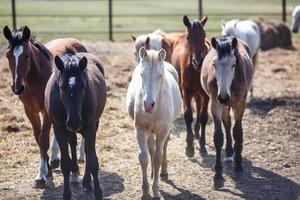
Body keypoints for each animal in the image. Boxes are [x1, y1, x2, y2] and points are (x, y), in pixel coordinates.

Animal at [2, 25, 86, 188]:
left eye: (27, 55)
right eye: (8, 55)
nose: (17, 88)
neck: (34, 80)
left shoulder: (46, 111)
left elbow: (43, 139)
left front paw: (42, 175)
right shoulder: (30, 111)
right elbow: (38, 138)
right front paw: (46, 172)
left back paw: (79, 156)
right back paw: (54, 159)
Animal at [44, 48, 106, 200]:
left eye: (83, 86)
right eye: (61, 86)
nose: (74, 121)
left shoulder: (90, 128)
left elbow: (92, 160)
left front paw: (98, 192)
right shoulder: (59, 129)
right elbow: (65, 163)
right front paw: (67, 194)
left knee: (86, 150)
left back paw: (86, 182)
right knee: (72, 143)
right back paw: (75, 173)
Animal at [126, 47, 182, 199]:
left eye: (160, 75)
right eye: (142, 74)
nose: (148, 105)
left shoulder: (163, 131)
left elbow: (158, 157)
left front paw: (156, 191)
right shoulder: (140, 129)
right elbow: (144, 157)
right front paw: (145, 190)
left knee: (163, 147)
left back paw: (163, 172)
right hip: (149, 131)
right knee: (151, 148)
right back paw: (152, 173)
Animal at [171, 14, 211, 157]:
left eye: (204, 35)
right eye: (189, 37)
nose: (198, 62)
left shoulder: (205, 94)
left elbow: (203, 116)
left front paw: (203, 146)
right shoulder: (186, 91)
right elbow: (188, 115)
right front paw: (189, 147)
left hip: (199, 94)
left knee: (198, 109)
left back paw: (197, 132)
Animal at [202, 36, 253, 186]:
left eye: (233, 65)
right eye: (214, 64)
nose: (223, 97)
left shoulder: (240, 105)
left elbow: (238, 132)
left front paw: (239, 165)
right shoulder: (216, 104)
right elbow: (218, 137)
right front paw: (218, 174)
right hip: (223, 105)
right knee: (227, 123)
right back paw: (230, 153)